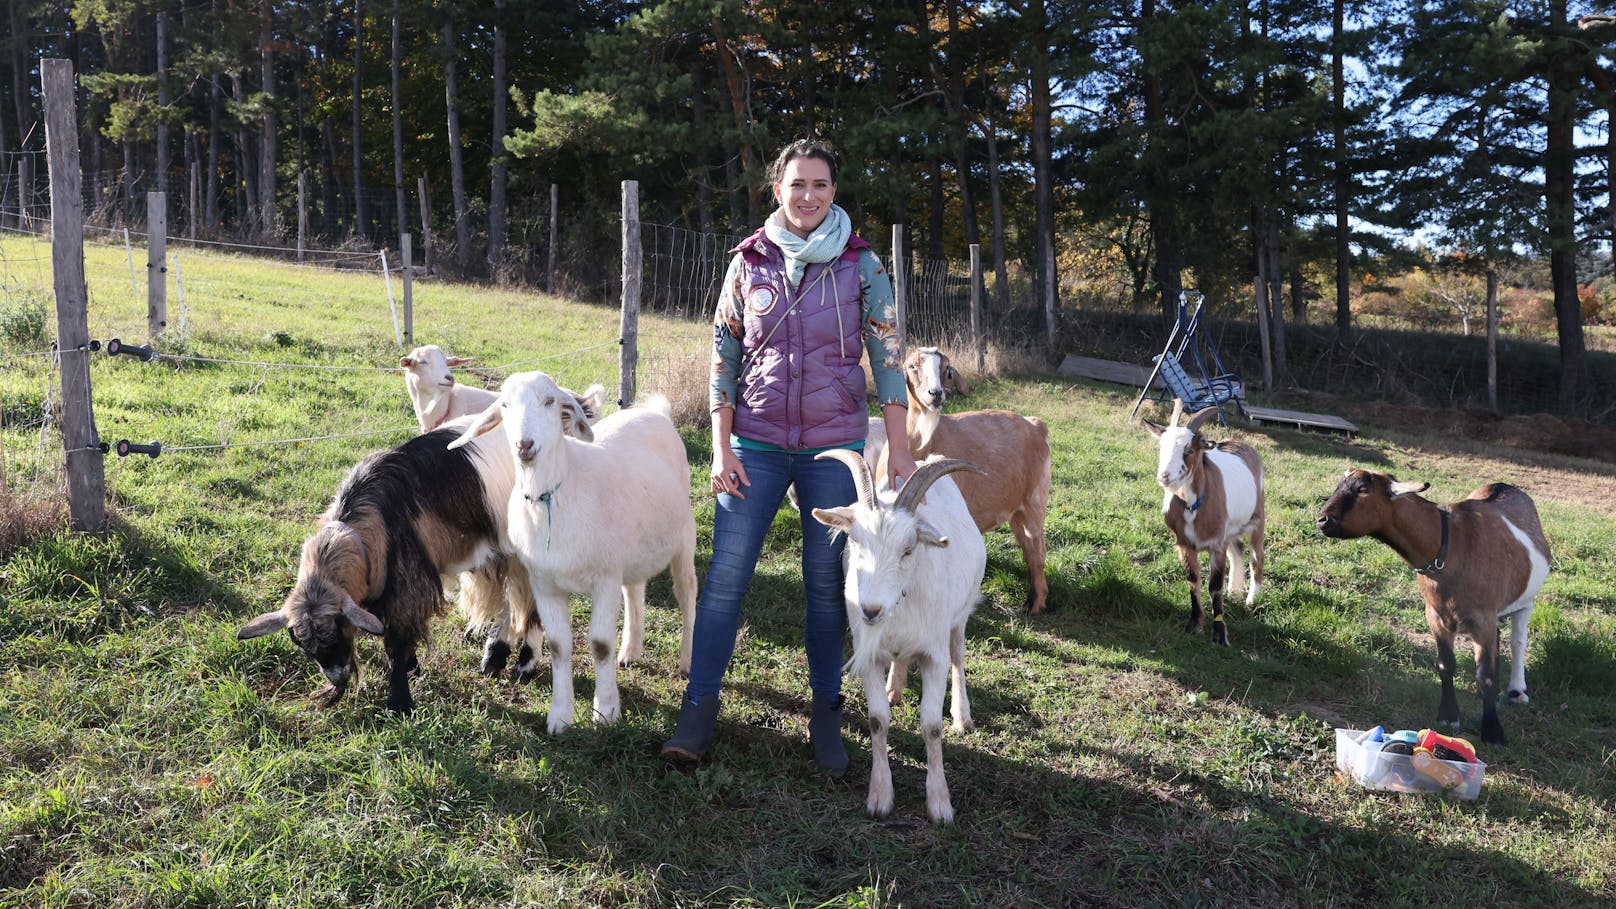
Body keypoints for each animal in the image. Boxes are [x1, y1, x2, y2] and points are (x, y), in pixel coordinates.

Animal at [446, 368, 698, 727]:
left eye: (550, 401)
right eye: (505, 405)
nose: (524, 445)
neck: (558, 490)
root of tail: (656, 413)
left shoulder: (604, 579)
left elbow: (601, 644)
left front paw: (605, 711)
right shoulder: (545, 584)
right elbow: (559, 646)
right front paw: (560, 716)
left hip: (684, 536)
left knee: (687, 593)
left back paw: (687, 660)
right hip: (631, 551)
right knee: (635, 590)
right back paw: (630, 651)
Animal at [808, 446, 982, 821]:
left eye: (909, 549)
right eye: (854, 541)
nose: (871, 610)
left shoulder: (933, 657)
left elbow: (932, 726)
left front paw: (940, 804)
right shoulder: (869, 655)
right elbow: (877, 721)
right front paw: (880, 797)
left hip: (959, 617)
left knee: (958, 655)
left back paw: (962, 715)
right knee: (900, 660)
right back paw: (895, 687)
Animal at [1144, 397, 1266, 643]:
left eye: (1189, 450)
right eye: (1162, 447)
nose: (1164, 476)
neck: (1193, 505)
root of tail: (1243, 445)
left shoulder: (1216, 544)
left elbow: (1214, 587)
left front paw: (1219, 634)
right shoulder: (1184, 544)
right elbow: (1193, 581)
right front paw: (1195, 624)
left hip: (1258, 518)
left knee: (1257, 557)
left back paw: (1251, 600)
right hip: (1231, 528)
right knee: (1237, 551)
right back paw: (1235, 591)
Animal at [1312, 465, 1551, 744]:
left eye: (1362, 490)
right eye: (1340, 485)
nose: (1322, 520)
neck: (1448, 543)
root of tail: (1504, 485)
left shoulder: (1482, 618)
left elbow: (1485, 676)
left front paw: (1492, 730)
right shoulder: (1436, 615)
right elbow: (1445, 665)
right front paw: (1448, 715)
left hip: (1526, 602)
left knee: (1518, 641)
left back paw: (1516, 690)